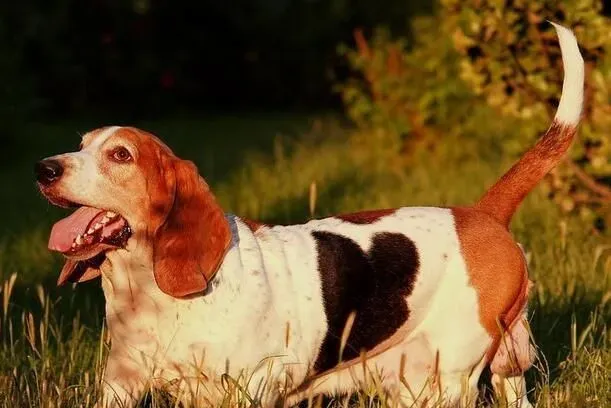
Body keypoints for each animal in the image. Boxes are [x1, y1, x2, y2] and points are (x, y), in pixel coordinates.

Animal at [37, 23, 584, 406]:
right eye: (81, 144)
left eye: (120, 155)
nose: (44, 168)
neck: (147, 290)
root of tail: (479, 213)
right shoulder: (121, 385)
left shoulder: (241, 391)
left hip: (446, 376)